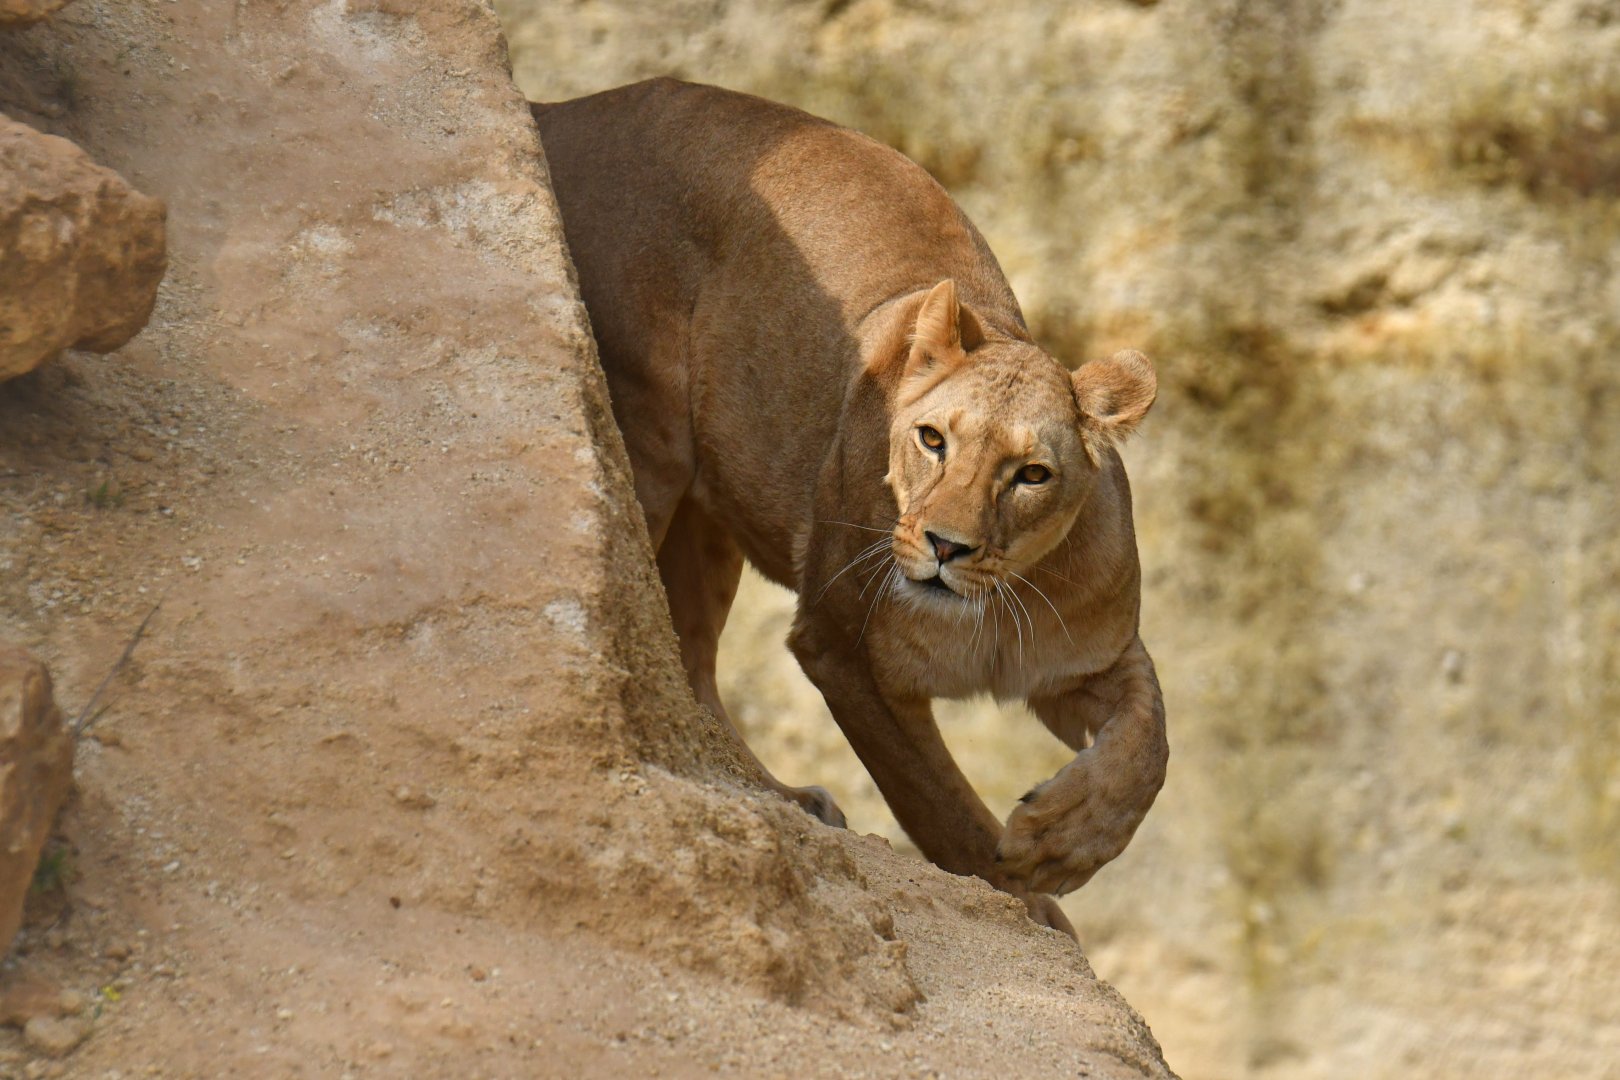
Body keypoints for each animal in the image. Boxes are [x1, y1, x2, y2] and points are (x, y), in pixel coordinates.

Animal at [534, 79, 1166, 936]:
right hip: (650, 434)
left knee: (691, 665)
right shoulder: (843, 652)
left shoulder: (1087, 662)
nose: (946, 546)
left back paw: (780, 796)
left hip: (710, 515)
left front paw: (1061, 843)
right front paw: (1024, 889)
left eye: (1032, 474)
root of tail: (562, 107)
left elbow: (1147, 745)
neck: (995, 603)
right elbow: (937, 797)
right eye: (933, 439)